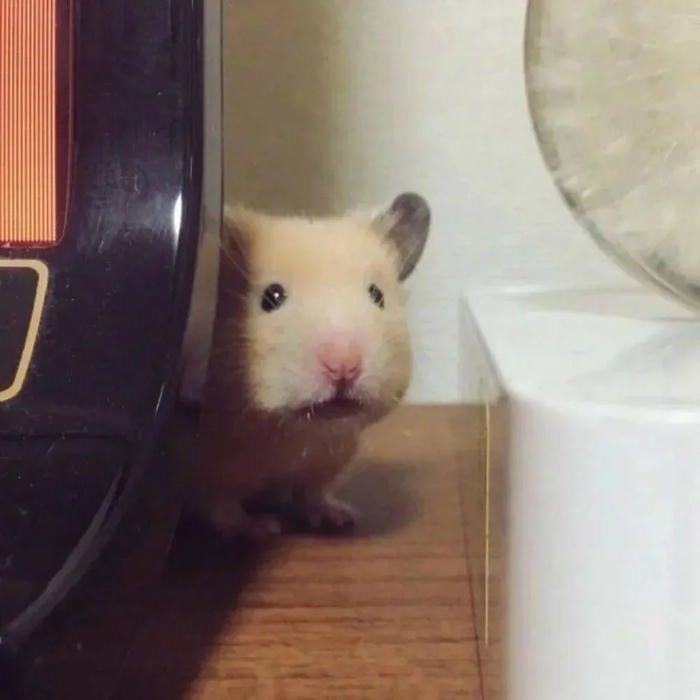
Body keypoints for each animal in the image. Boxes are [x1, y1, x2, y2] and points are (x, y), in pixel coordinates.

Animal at [185, 192, 431, 538]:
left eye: (377, 295)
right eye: (272, 297)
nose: (344, 366)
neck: (294, 433)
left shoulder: (326, 460)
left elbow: (312, 493)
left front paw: (341, 516)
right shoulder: (208, 472)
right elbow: (224, 508)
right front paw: (264, 527)